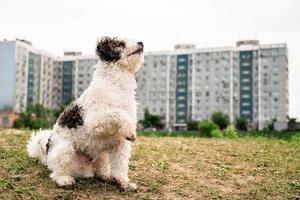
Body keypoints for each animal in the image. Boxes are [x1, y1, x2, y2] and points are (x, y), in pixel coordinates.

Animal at [26, 36, 144, 191]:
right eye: (120, 43)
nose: (141, 43)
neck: (115, 86)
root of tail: (46, 153)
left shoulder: (120, 143)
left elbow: (120, 166)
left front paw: (124, 183)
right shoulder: (94, 121)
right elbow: (116, 113)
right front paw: (130, 130)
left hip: (101, 155)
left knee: (100, 166)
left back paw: (103, 174)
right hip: (65, 150)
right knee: (56, 172)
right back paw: (64, 180)